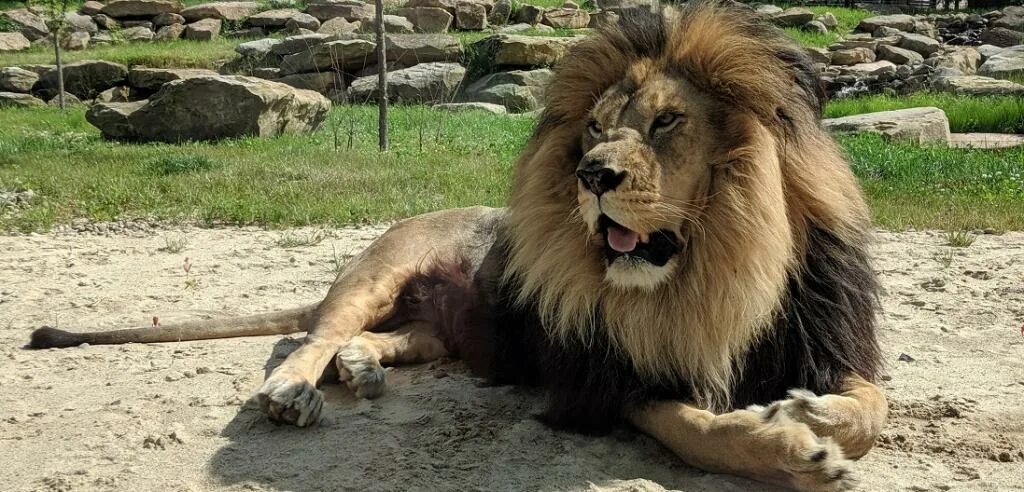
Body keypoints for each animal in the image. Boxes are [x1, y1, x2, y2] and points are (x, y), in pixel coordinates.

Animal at [25, 1, 888, 489]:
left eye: (668, 121)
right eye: (595, 128)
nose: (591, 174)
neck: (718, 270)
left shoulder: (824, 333)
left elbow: (871, 405)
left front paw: (810, 409)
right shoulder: (600, 380)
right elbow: (696, 428)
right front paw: (793, 451)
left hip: (438, 329)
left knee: (381, 340)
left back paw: (364, 369)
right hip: (376, 271)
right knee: (309, 338)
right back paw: (296, 391)